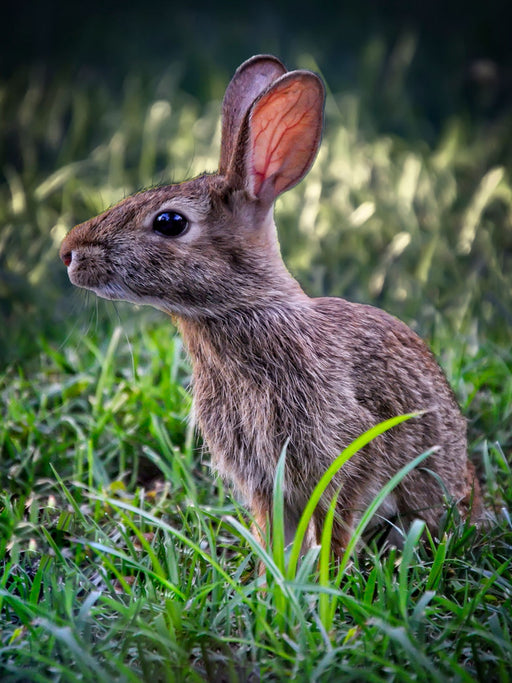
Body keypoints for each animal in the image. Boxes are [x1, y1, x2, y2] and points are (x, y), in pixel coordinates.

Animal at [61, 53, 484, 556]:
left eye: (169, 222)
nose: (67, 251)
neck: (244, 309)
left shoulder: (340, 457)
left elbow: (334, 525)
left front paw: (327, 574)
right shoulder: (263, 479)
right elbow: (274, 533)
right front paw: (270, 576)